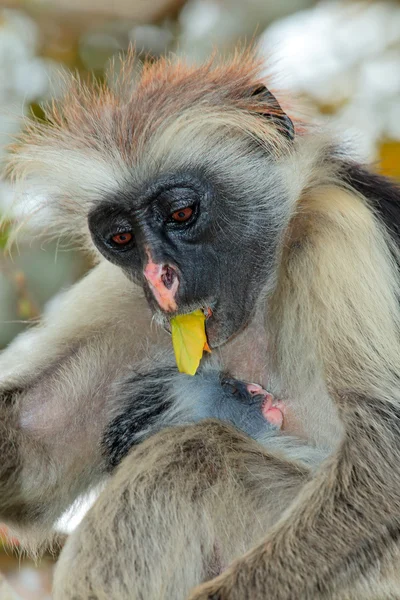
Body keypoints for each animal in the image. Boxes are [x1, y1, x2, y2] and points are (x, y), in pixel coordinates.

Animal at [0, 48, 400, 600]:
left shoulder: (338, 225)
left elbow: (385, 465)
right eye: (121, 238)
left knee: (190, 451)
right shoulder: (135, 301)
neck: (263, 293)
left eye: (182, 212)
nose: (158, 276)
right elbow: (35, 449)